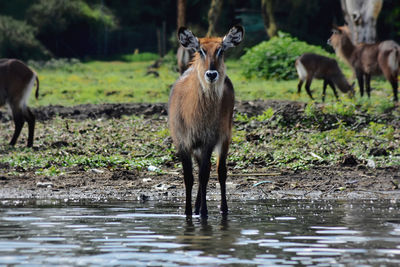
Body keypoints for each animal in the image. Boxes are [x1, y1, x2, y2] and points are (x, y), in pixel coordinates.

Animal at [167, 24, 242, 218]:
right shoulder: (182, 142)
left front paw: (204, 213)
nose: (211, 74)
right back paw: (196, 208)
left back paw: (222, 208)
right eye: (201, 50)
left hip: (225, 136)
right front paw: (188, 212)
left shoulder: (209, 140)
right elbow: (189, 177)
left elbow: (204, 175)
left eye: (221, 50)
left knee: (220, 171)